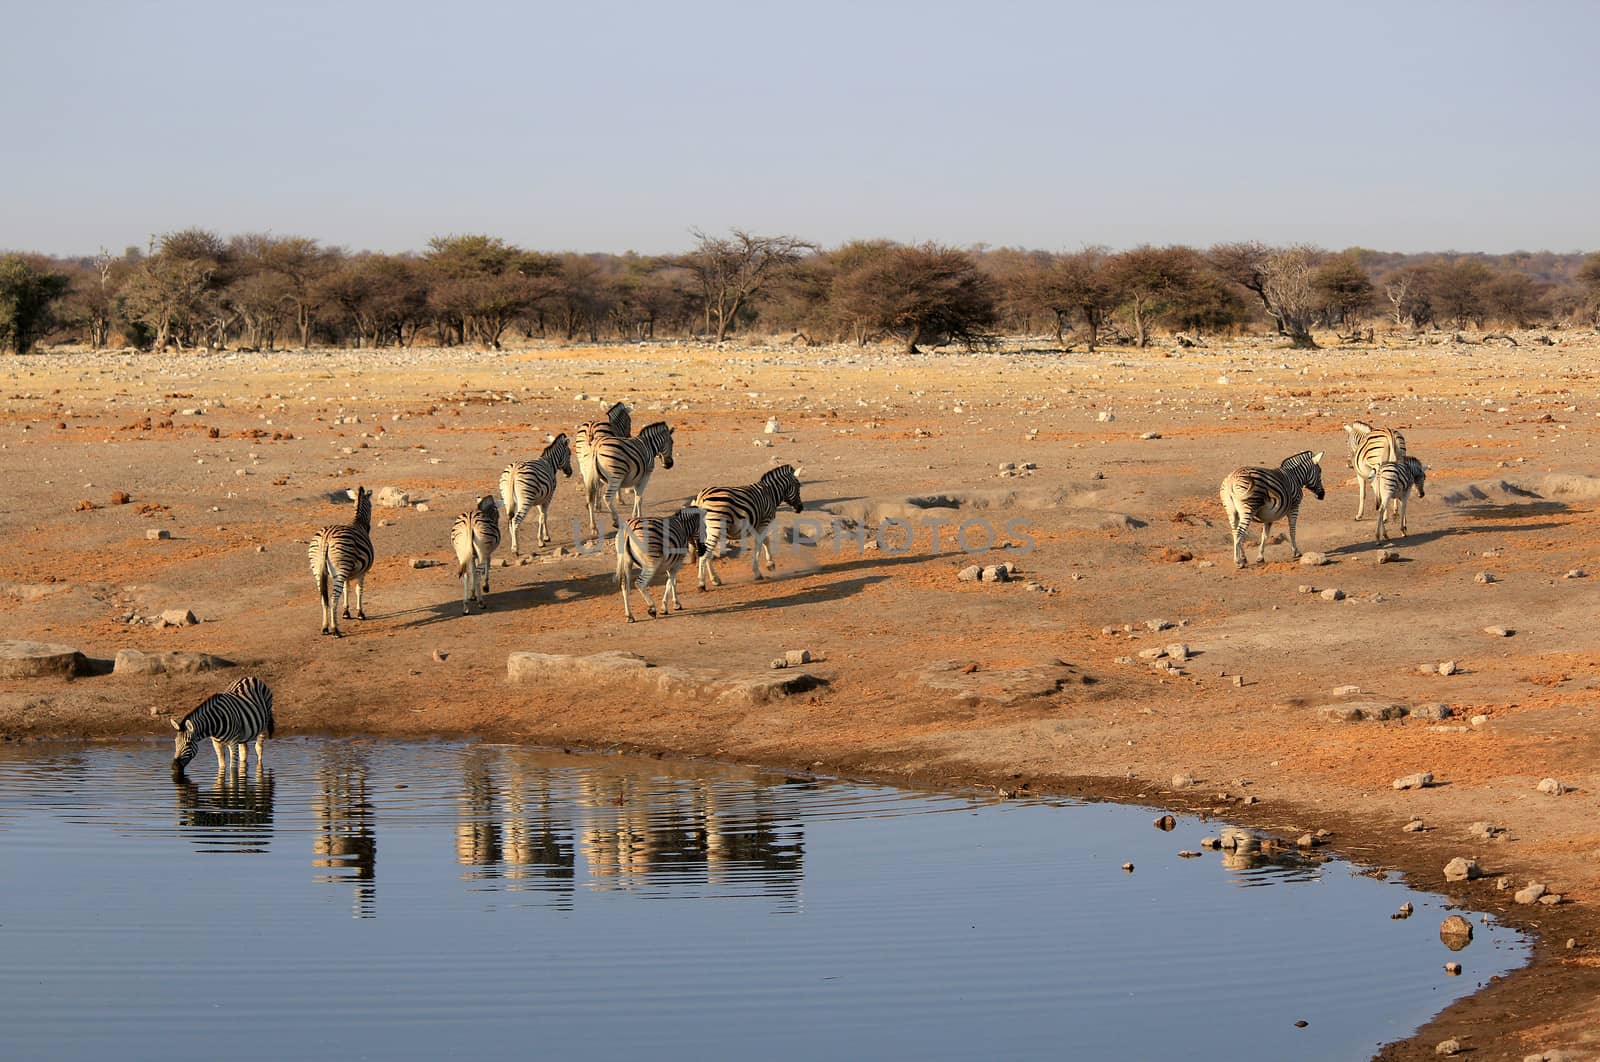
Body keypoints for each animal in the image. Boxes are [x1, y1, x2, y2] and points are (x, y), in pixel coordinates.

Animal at [305, 486, 371, 633]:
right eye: (371, 505)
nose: (369, 528)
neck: (358, 522)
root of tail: (326, 537)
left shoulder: (348, 573)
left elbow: (347, 589)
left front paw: (346, 612)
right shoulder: (362, 572)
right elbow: (359, 590)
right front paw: (360, 614)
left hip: (318, 568)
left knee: (323, 598)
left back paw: (325, 627)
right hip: (340, 568)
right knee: (333, 598)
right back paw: (335, 629)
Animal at [572, 399, 627, 534]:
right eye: (629, 420)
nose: (627, 435)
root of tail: (591, 427)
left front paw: (597, 506)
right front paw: (619, 500)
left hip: (584, 461)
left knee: (589, 487)